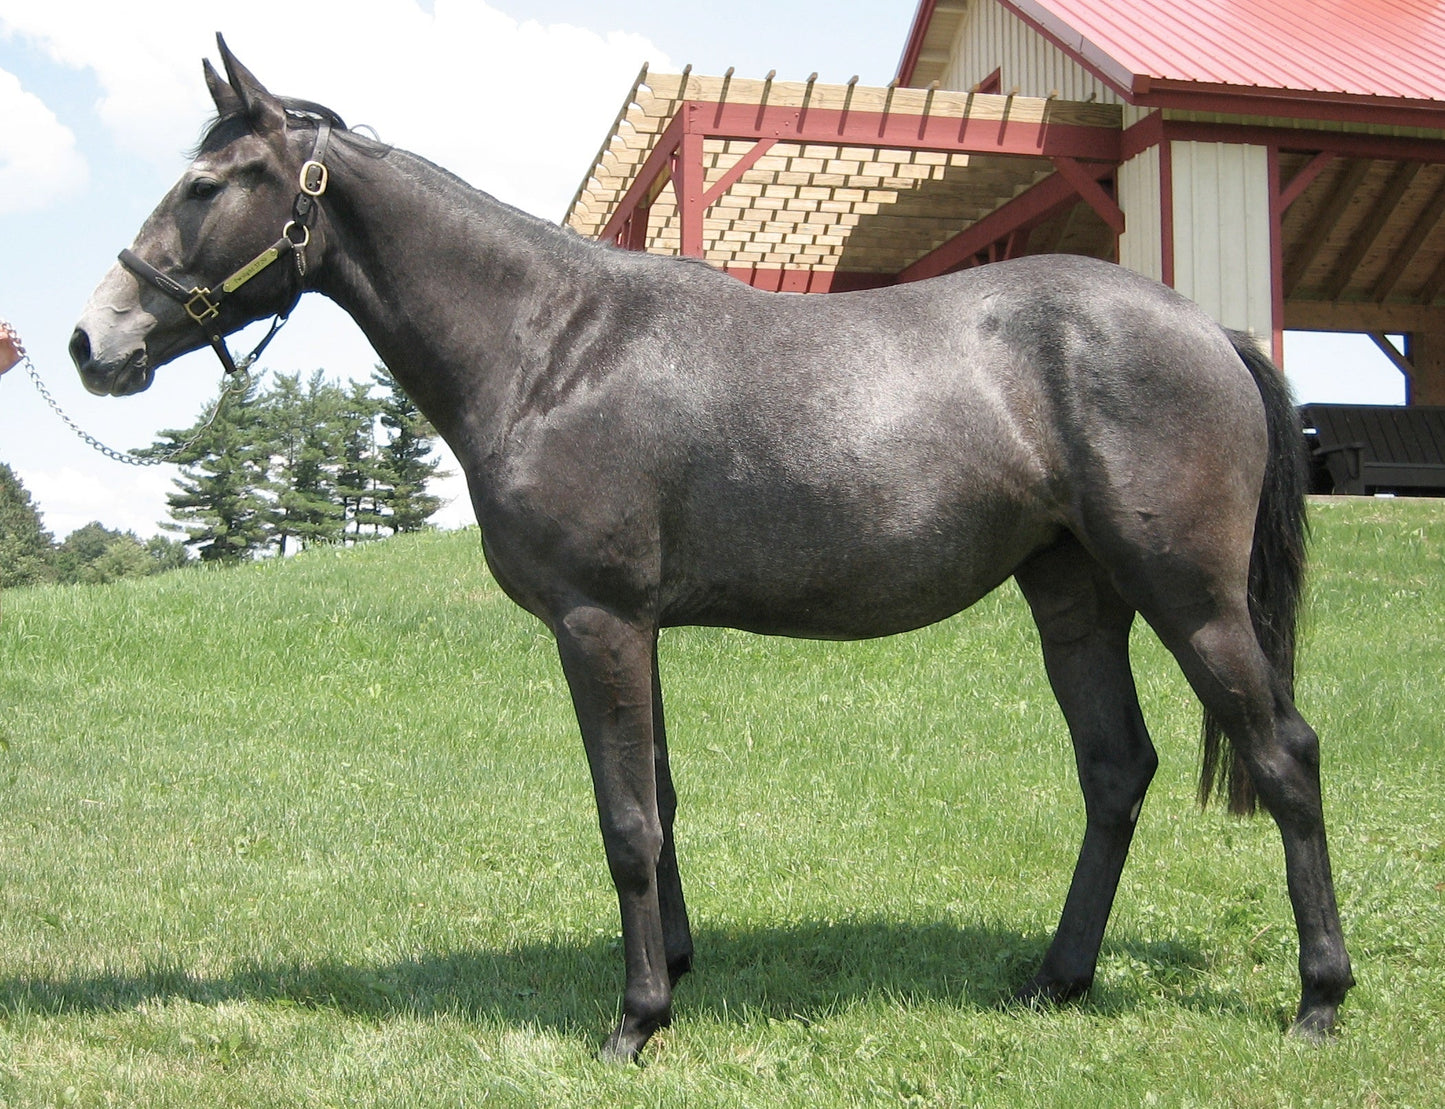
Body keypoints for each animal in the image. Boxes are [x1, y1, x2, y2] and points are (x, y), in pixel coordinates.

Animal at [70, 38, 1353, 1061]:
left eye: (206, 184)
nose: (92, 339)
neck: (552, 347)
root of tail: (1208, 328)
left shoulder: (596, 621)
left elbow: (626, 819)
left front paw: (635, 1019)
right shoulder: (634, 628)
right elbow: (662, 798)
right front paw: (674, 968)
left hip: (1189, 599)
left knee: (1283, 755)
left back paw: (1317, 1000)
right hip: (1073, 595)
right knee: (1112, 768)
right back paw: (1054, 978)